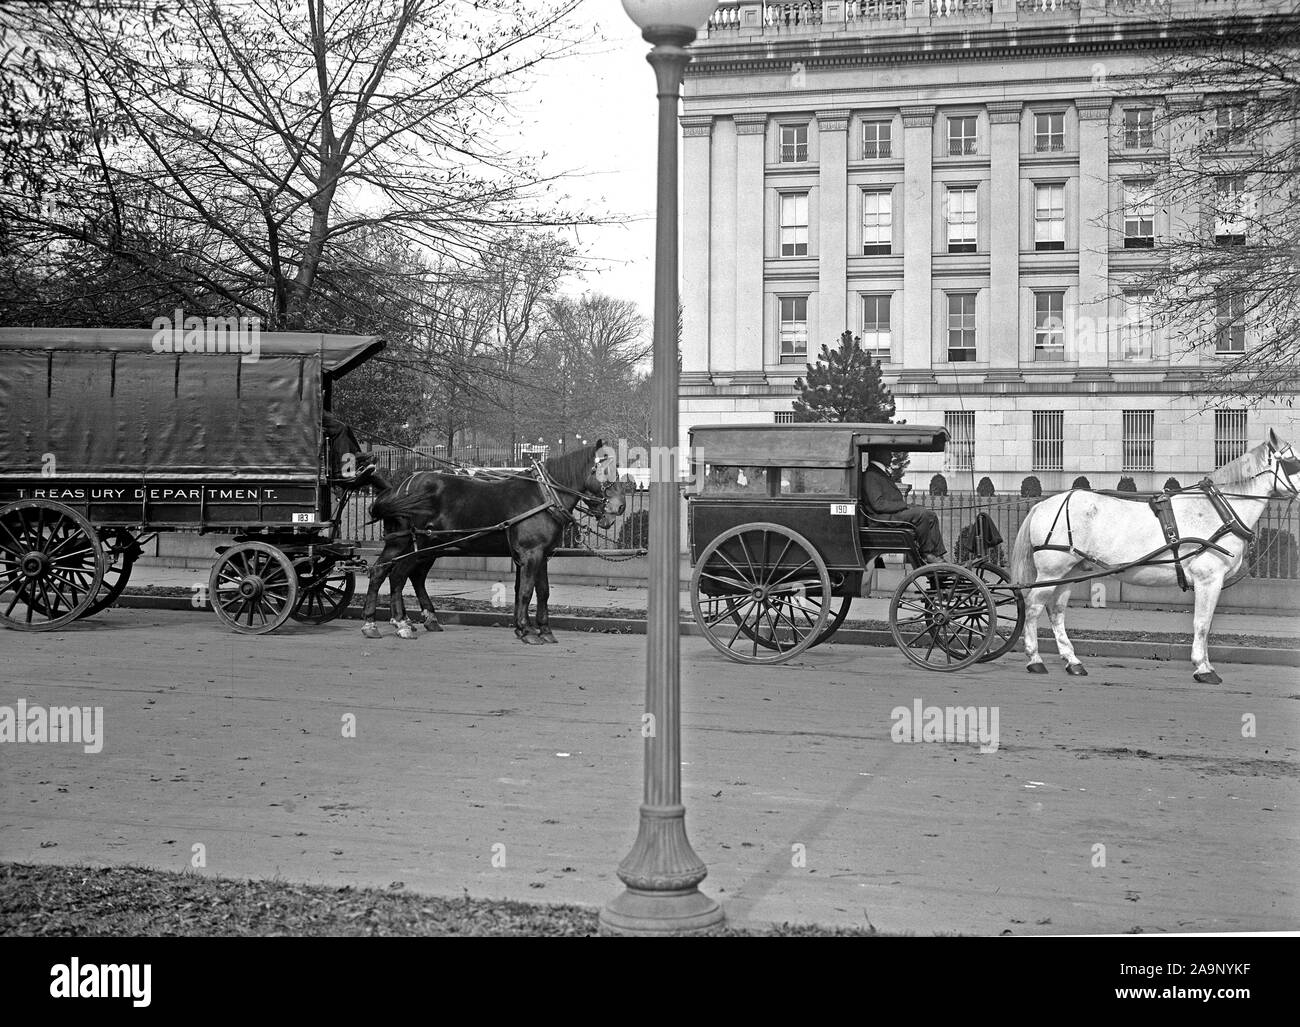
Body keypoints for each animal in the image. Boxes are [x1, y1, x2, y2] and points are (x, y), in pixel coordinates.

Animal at [361, 441, 624, 644]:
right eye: (605, 471)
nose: (620, 506)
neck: (544, 495)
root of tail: (400, 487)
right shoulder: (531, 554)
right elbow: (527, 591)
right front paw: (527, 630)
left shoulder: (542, 555)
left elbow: (542, 591)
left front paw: (542, 630)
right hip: (412, 544)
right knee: (396, 575)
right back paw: (399, 623)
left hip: (419, 546)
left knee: (392, 573)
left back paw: (384, 622)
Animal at [1013, 431, 1300, 681]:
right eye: (1294, 461)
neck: (1218, 510)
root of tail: (1043, 504)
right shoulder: (1208, 579)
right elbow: (1202, 623)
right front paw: (1204, 668)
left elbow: (1204, 624)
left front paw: (1203, 664)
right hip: (1051, 571)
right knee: (1033, 607)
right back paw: (1035, 659)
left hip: (1068, 572)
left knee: (1056, 611)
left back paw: (1072, 661)